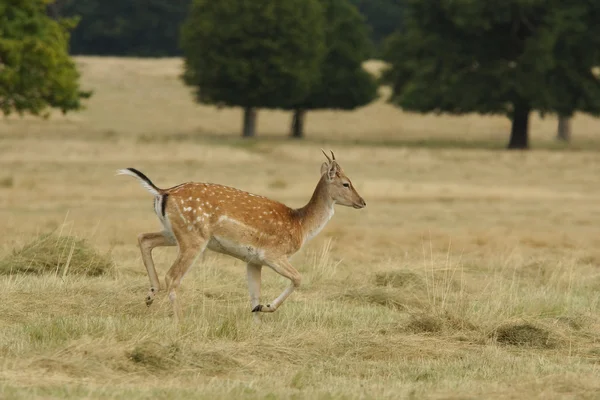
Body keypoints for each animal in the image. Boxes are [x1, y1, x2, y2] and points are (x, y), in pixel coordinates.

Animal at [115, 150, 364, 322]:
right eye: (346, 183)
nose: (362, 202)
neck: (300, 225)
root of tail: (163, 192)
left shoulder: (253, 261)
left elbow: (254, 294)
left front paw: (257, 317)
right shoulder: (273, 254)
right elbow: (298, 278)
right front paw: (267, 308)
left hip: (173, 232)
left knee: (144, 238)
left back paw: (150, 296)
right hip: (193, 237)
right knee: (172, 276)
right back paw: (179, 320)